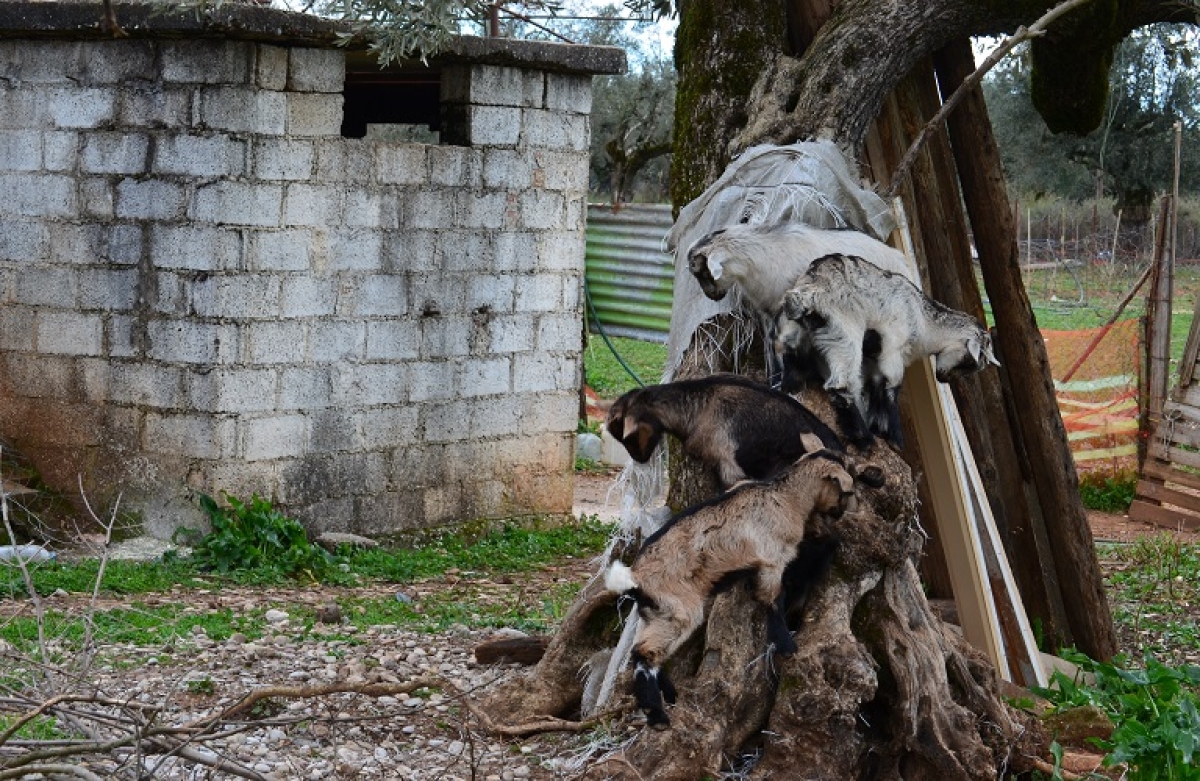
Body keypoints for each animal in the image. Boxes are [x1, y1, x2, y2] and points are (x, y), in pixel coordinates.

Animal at [609, 443, 883, 729]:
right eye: (846, 490)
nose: (839, 514)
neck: (787, 497)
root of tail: (633, 578)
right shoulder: (773, 560)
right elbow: (772, 599)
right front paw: (786, 645)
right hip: (679, 609)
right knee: (645, 654)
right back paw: (657, 714)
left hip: (655, 613)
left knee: (642, 652)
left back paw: (670, 696)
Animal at [777, 255, 993, 446]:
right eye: (970, 362)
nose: (943, 379)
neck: (923, 319)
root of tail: (810, 291)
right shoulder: (894, 347)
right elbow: (893, 385)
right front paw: (896, 439)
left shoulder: (875, 355)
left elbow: (877, 384)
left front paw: (879, 427)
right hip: (843, 334)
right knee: (840, 384)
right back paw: (863, 438)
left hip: (797, 330)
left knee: (790, 352)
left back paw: (792, 387)